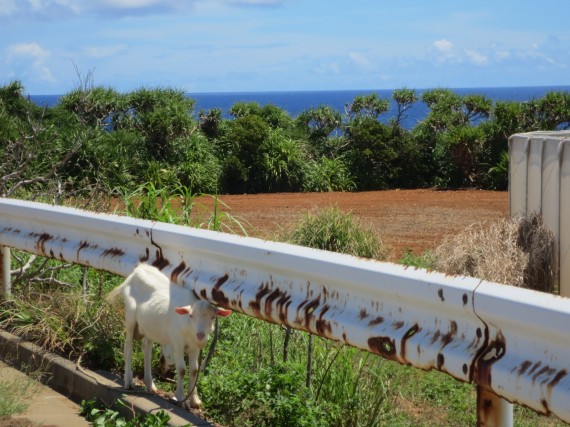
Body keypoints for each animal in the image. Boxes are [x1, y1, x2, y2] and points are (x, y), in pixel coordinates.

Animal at [105, 262, 230, 410]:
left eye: (212, 317)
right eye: (191, 315)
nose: (200, 335)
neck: (189, 328)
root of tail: (137, 271)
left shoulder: (194, 347)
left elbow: (194, 370)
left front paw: (194, 400)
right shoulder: (177, 342)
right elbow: (181, 369)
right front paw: (181, 398)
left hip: (149, 326)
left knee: (146, 349)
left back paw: (150, 384)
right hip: (130, 316)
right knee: (128, 346)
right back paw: (128, 381)